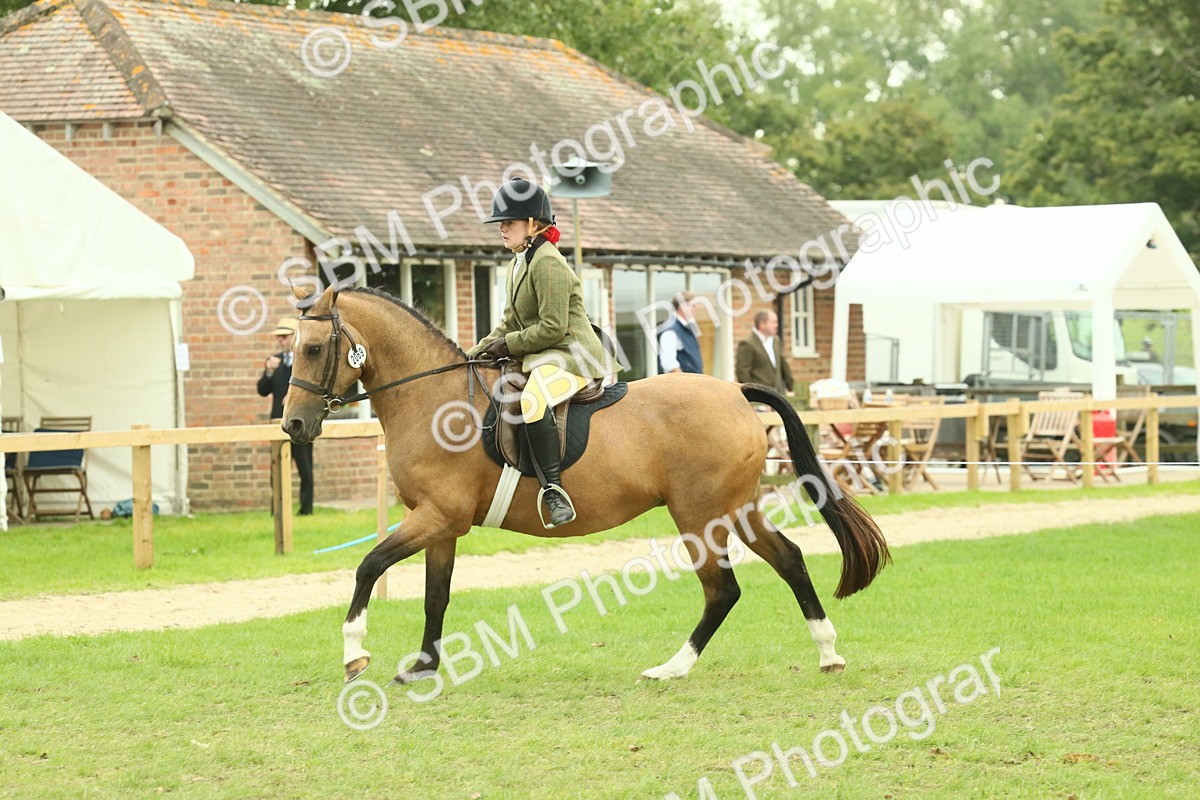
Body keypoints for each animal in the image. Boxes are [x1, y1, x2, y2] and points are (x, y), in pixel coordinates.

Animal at [281, 285, 889, 686]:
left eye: (312, 349)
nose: (293, 426)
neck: (433, 400)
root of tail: (736, 391)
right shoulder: (441, 525)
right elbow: (436, 595)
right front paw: (424, 666)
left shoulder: (437, 516)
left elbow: (369, 567)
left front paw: (354, 654)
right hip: (734, 509)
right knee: (788, 560)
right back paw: (827, 652)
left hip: (699, 516)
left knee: (723, 589)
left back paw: (672, 668)